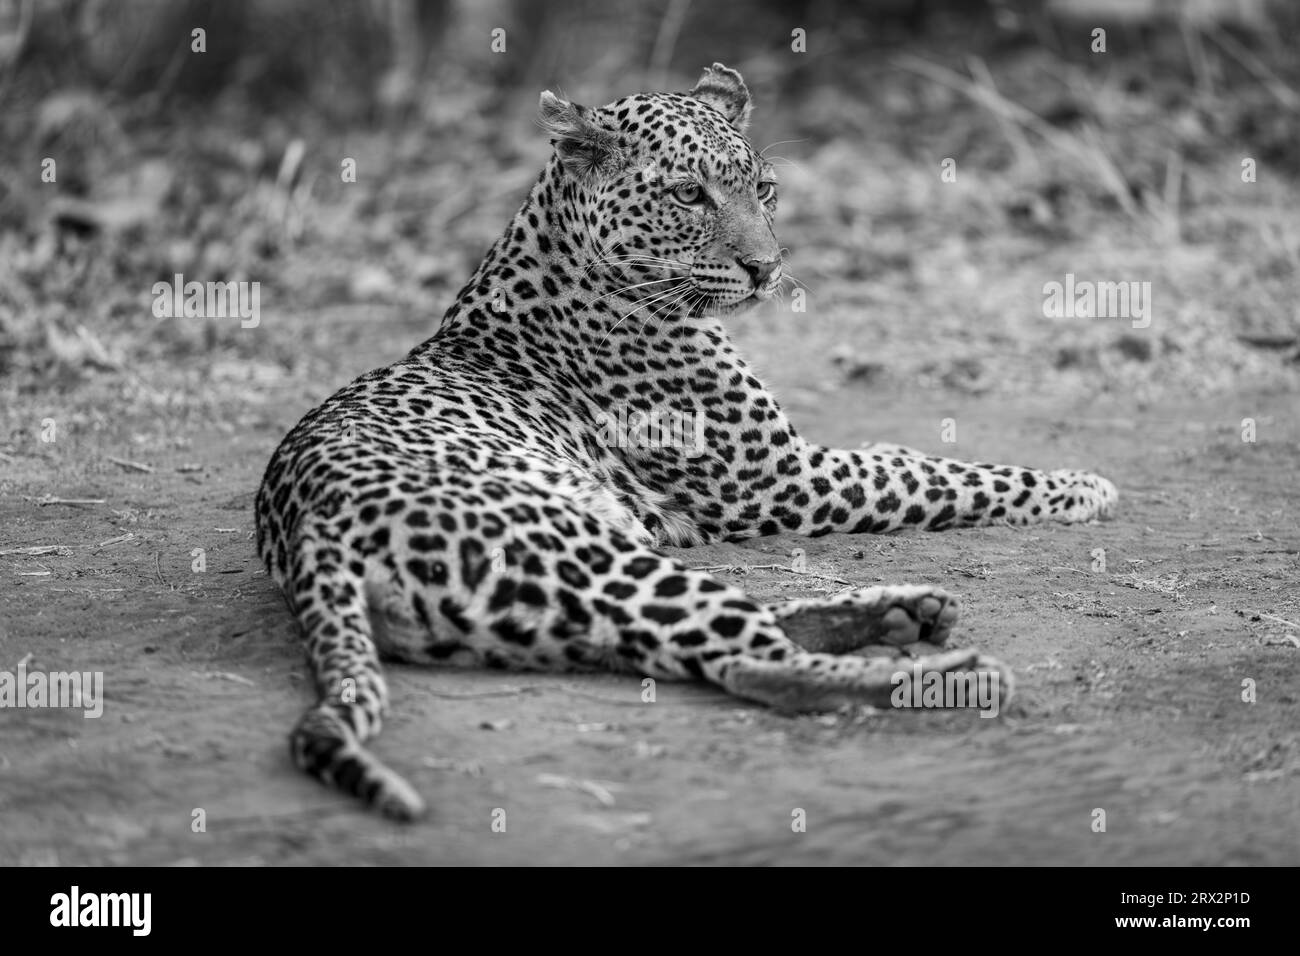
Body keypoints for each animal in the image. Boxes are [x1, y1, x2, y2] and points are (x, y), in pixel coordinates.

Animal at [255, 63, 1118, 820]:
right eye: (687, 194)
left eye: (763, 189)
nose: (767, 269)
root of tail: (312, 531)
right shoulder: (781, 481)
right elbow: (936, 474)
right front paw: (1080, 485)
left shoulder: (790, 467)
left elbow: (907, 458)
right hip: (582, 555)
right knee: (754, 663)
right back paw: (953, 674)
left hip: (560, 602)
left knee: (721, 640)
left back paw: (909, 613)